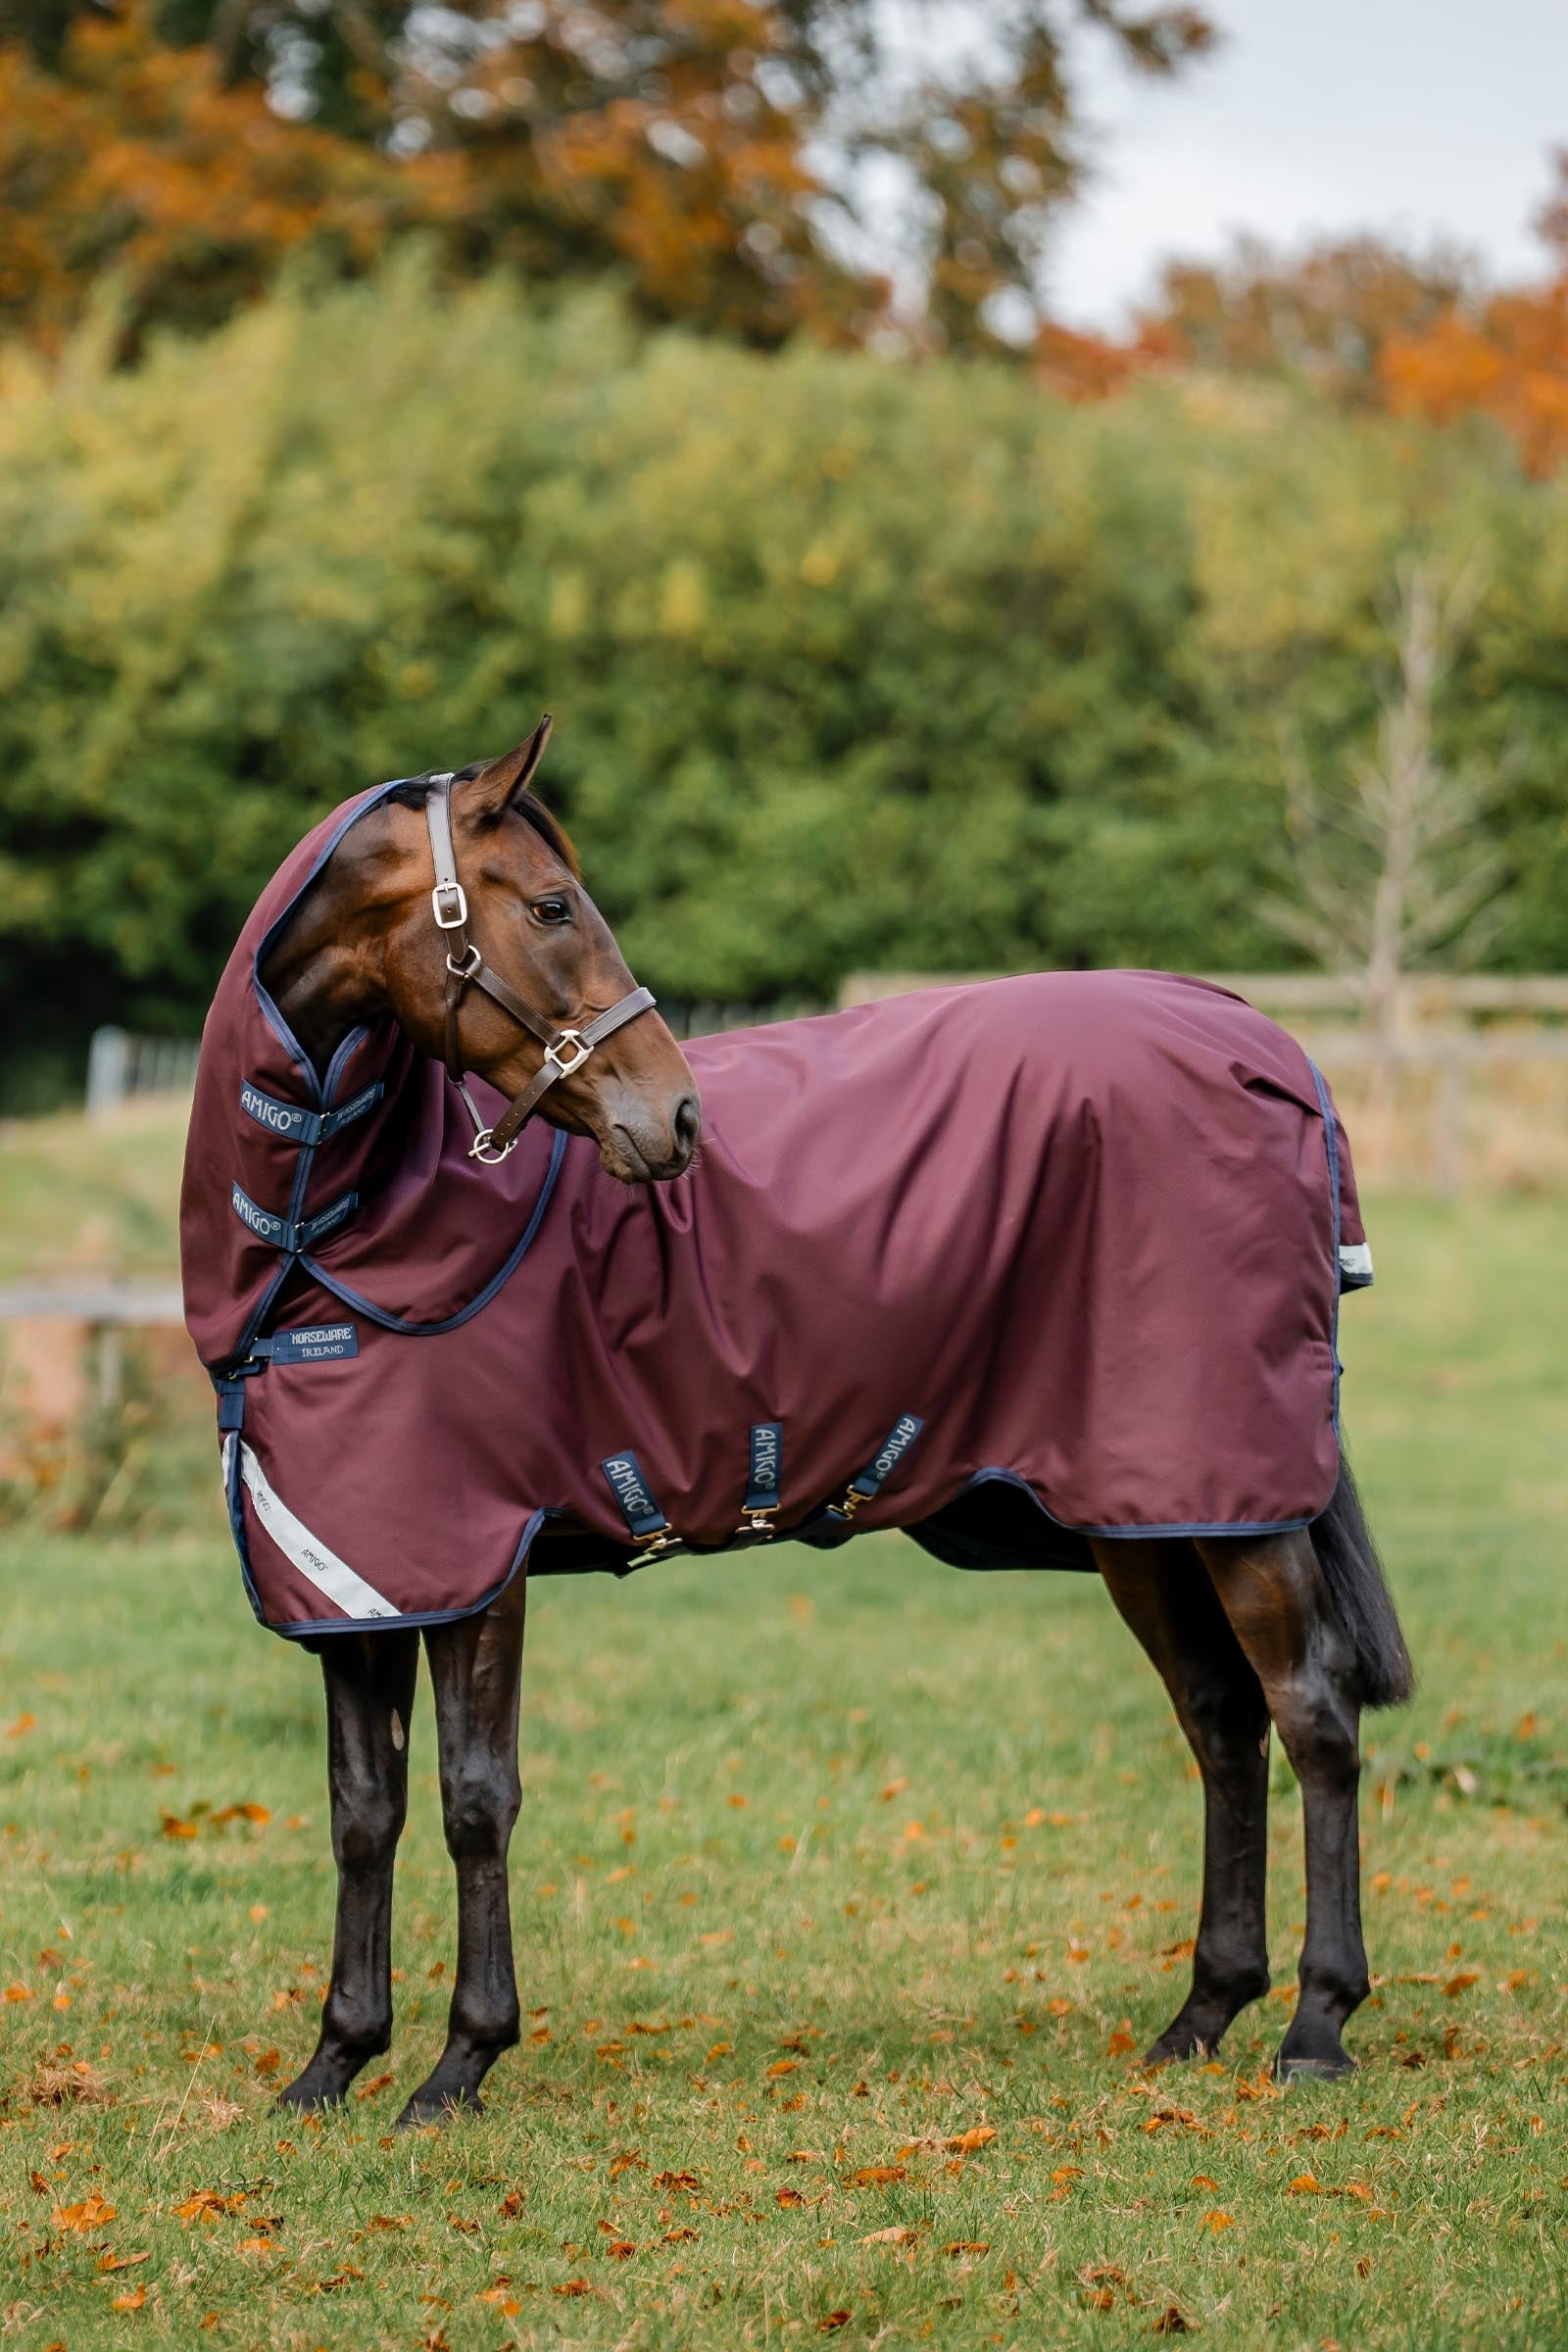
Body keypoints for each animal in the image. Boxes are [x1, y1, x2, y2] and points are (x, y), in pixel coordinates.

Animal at [179, 722, 1413, 2128]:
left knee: (1312, 1712)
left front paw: (458, 2065)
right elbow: (363, 1809)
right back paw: (1203, 2013)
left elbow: (474, 1801)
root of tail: (1266, 1044)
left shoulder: (474, 1562)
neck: (328, 1241)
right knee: (1220, 1718)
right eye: (550, 906)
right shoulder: (360, 1575)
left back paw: (1315, 2024)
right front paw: (334, 2061)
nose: (675, 1118)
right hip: (1147, 1514)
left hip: (1232, 1506)